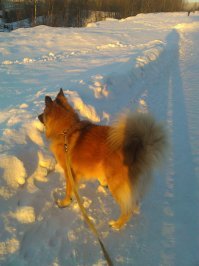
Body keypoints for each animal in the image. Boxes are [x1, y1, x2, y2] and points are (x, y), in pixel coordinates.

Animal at [38, 88, 167, 230]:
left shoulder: (69, 172)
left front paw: (65, 202)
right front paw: (102, 183)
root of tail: (136, 150)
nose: (37, 116)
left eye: (43, 112)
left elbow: (68, 190)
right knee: (134, 202)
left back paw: (117, 224)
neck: (66, 130)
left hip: (117, 185)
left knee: (128, 209)